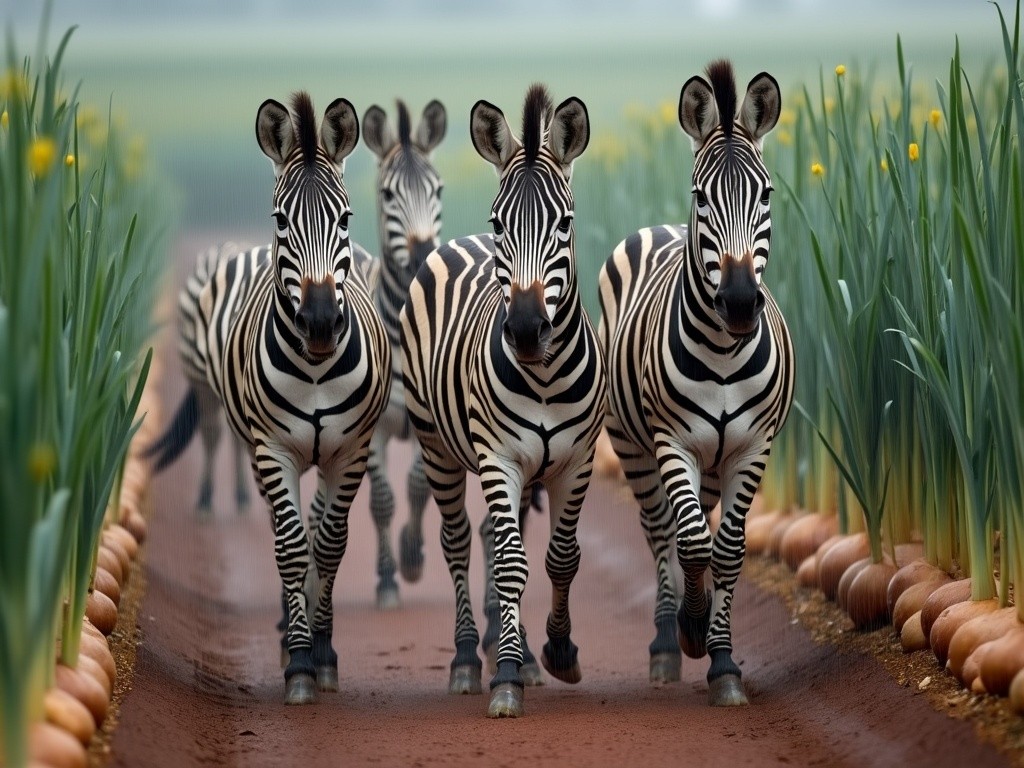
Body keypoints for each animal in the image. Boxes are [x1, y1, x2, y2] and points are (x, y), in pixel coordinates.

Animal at [190, 91, 389, 704]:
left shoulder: (351, 451)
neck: (318, 367)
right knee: (288, 530)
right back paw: (286, 632)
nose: (321, 323)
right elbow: (290, 547)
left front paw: (322, 652)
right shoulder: (273, 450)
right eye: (281, 219)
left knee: (320, 526)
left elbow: (329, 546)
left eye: (345, 218)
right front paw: (299, 659)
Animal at [399, 87, 606, 720]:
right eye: (500, 222)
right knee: (460, 543)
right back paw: (470, 658)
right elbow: (512, 564)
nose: (525, 329)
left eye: (564, 224)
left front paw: (556, 652)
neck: (544, 377)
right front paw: (506, 675)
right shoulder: (500, 458)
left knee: (494, 536)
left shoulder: (576, 462)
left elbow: (561, 557)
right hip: (437, 446)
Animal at [598, 61, 790, 708]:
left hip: (711, 457)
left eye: (766, 193)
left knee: (698, 525)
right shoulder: (672, 442)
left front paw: (723, 657)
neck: (725, 353)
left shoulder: (753, 447)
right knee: (662, 531)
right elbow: (689, 544)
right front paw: (690, 627)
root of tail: (657, 228)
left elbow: (726, 549)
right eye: (702, 197)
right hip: (633, 444)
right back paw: (666, 638)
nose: (739, 302)